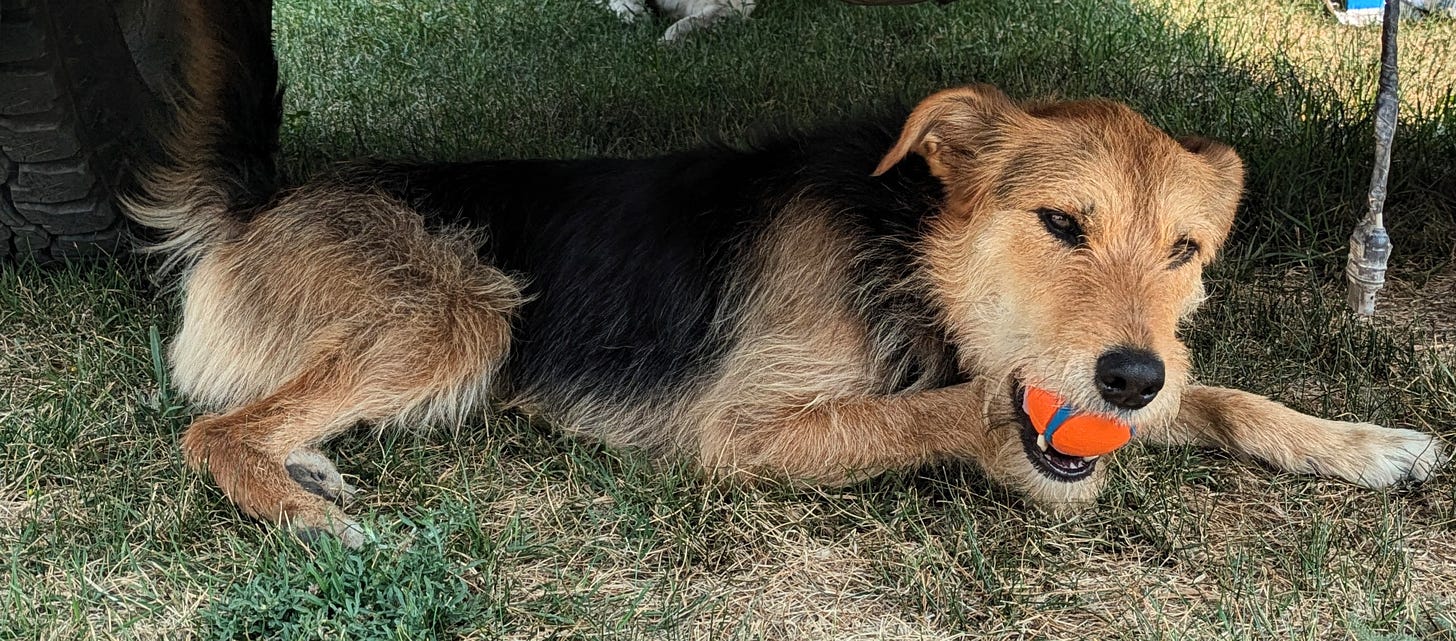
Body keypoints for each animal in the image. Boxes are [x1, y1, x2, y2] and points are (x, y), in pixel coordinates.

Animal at [128, 2, 1444, 547]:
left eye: (1184, 251)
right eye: (1061, 223)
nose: (1126, 376)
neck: (908, 256)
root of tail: (258, 199)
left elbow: (1218, 392)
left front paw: (1362, 441)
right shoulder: (746, 431)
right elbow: (947, 407)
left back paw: (307, 463)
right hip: (464, 313)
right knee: (210, 430)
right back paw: (304, 510)